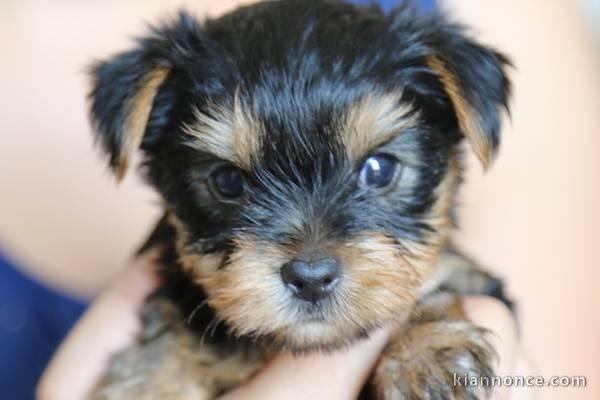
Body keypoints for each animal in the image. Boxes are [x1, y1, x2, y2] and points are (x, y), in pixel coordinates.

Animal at [86, 1, 512, 398]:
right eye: (227, 181)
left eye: (379, 169)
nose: (311, 278)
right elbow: (170, 331)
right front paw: (150, 382)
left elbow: (441, 282)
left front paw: (425, 352)